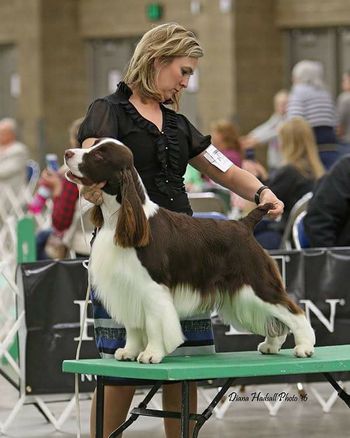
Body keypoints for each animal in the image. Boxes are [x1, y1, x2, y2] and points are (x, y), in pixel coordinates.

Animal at [64, 139, 316, 362]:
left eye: (99, 155)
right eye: (92, 145)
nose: (67, 153)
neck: (116, 219)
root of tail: (243, 224)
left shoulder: (152, 287)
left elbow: (154, 323)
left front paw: (151, 354)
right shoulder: (127, 285)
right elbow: (133, 326)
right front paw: (129, 352)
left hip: (256, 281)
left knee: (291, 310)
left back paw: (304, 347)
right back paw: (271, 345)